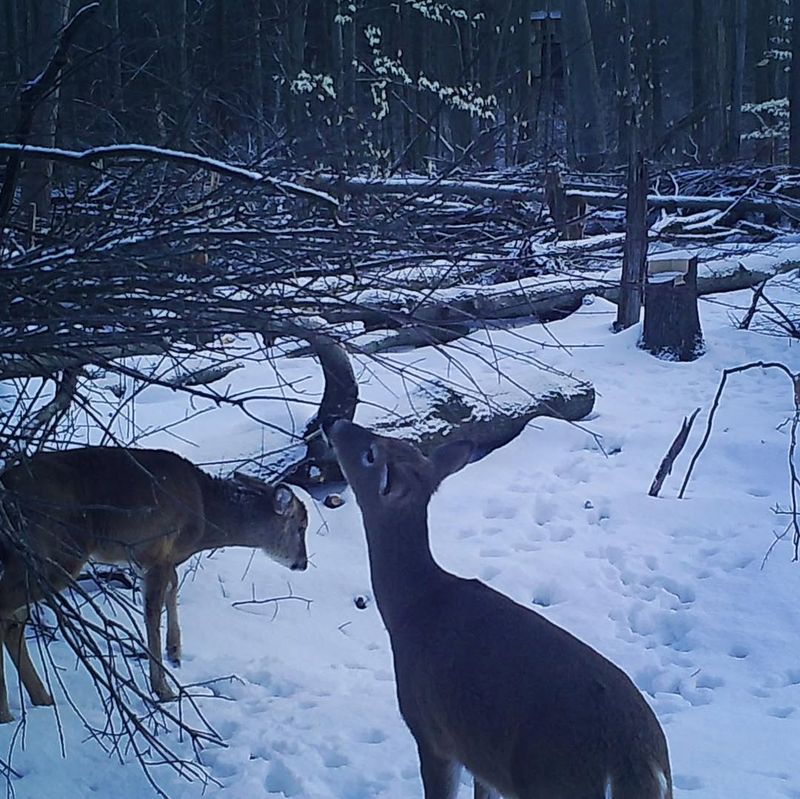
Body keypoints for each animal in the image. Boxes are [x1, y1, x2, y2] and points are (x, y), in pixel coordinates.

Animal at [0, 446, 309, 723]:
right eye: (301, 526)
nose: (302, 563)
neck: (204, 515)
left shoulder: (151, 559)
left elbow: (173, 588)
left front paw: (175, 652)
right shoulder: (158, 551)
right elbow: (152, 614)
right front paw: (163, 689)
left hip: (24, 556)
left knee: (16, 619)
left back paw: (42, 698)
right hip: (57, 550)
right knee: (7, 613)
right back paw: (8, 712)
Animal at [326, 419, 673, 799]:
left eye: (370, 455)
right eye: (387, 441)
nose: (337, 423)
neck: (412, 606)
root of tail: (638, 765)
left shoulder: (432, 732)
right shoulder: (480, 754)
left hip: (548, 781)